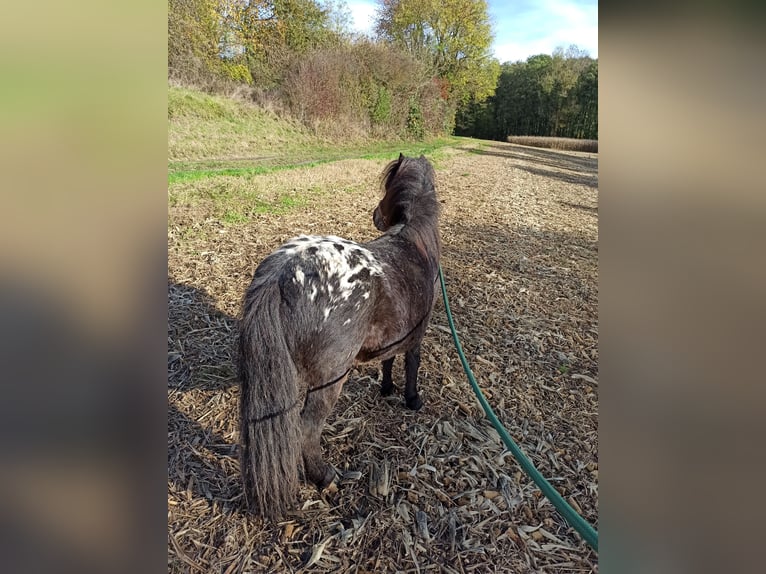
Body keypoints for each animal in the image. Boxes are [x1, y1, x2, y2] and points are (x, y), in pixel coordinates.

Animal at [238, 154, 441, 519]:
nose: (375, 215)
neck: (415, 245)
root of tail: (282, 272)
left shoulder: (391, 339)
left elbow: (388, 362)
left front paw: (386, 389)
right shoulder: (415, 339)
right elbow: (411, 367)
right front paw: (412, 399)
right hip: (330, 379)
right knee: (306, 429)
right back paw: (325, 477)